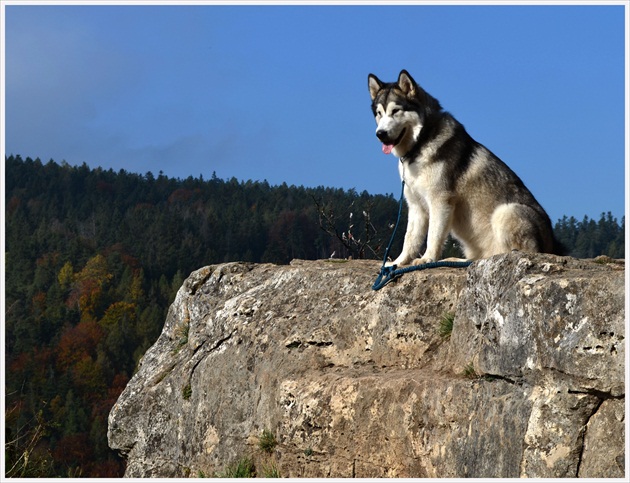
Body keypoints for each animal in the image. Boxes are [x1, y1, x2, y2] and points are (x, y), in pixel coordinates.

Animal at [370, 71, 564, 268]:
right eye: (379, 113)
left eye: (395, 111)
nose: (380, 134)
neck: (420, 144)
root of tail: (554, 246)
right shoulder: (416, 205)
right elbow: (409, 239)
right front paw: (397, 263)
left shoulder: (440, 201)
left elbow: (433, 236)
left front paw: (427, 259)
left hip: (506, 211)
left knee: (507, 254)